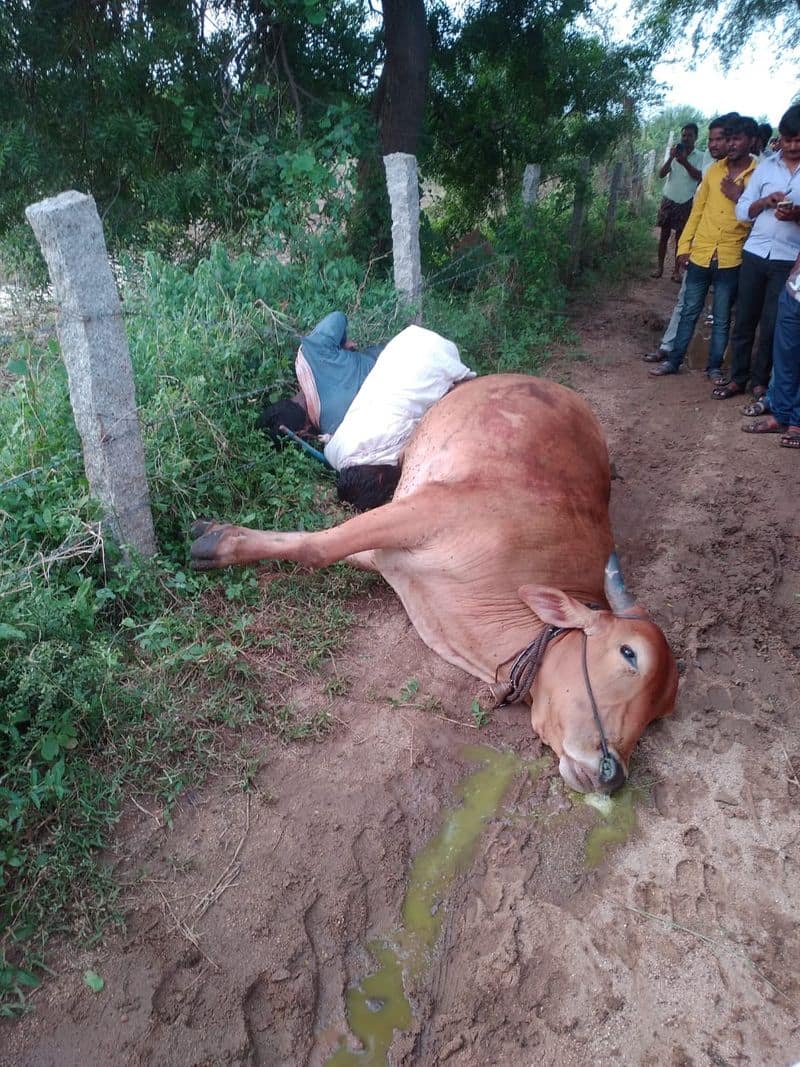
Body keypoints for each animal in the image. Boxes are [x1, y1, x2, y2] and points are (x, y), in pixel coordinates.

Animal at [193, 373, 678, 793]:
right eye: (629, 653)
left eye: (660, 715)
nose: (614, 775)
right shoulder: (423, 510)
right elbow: (318, 546)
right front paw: (217, 541)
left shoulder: (390, 552)